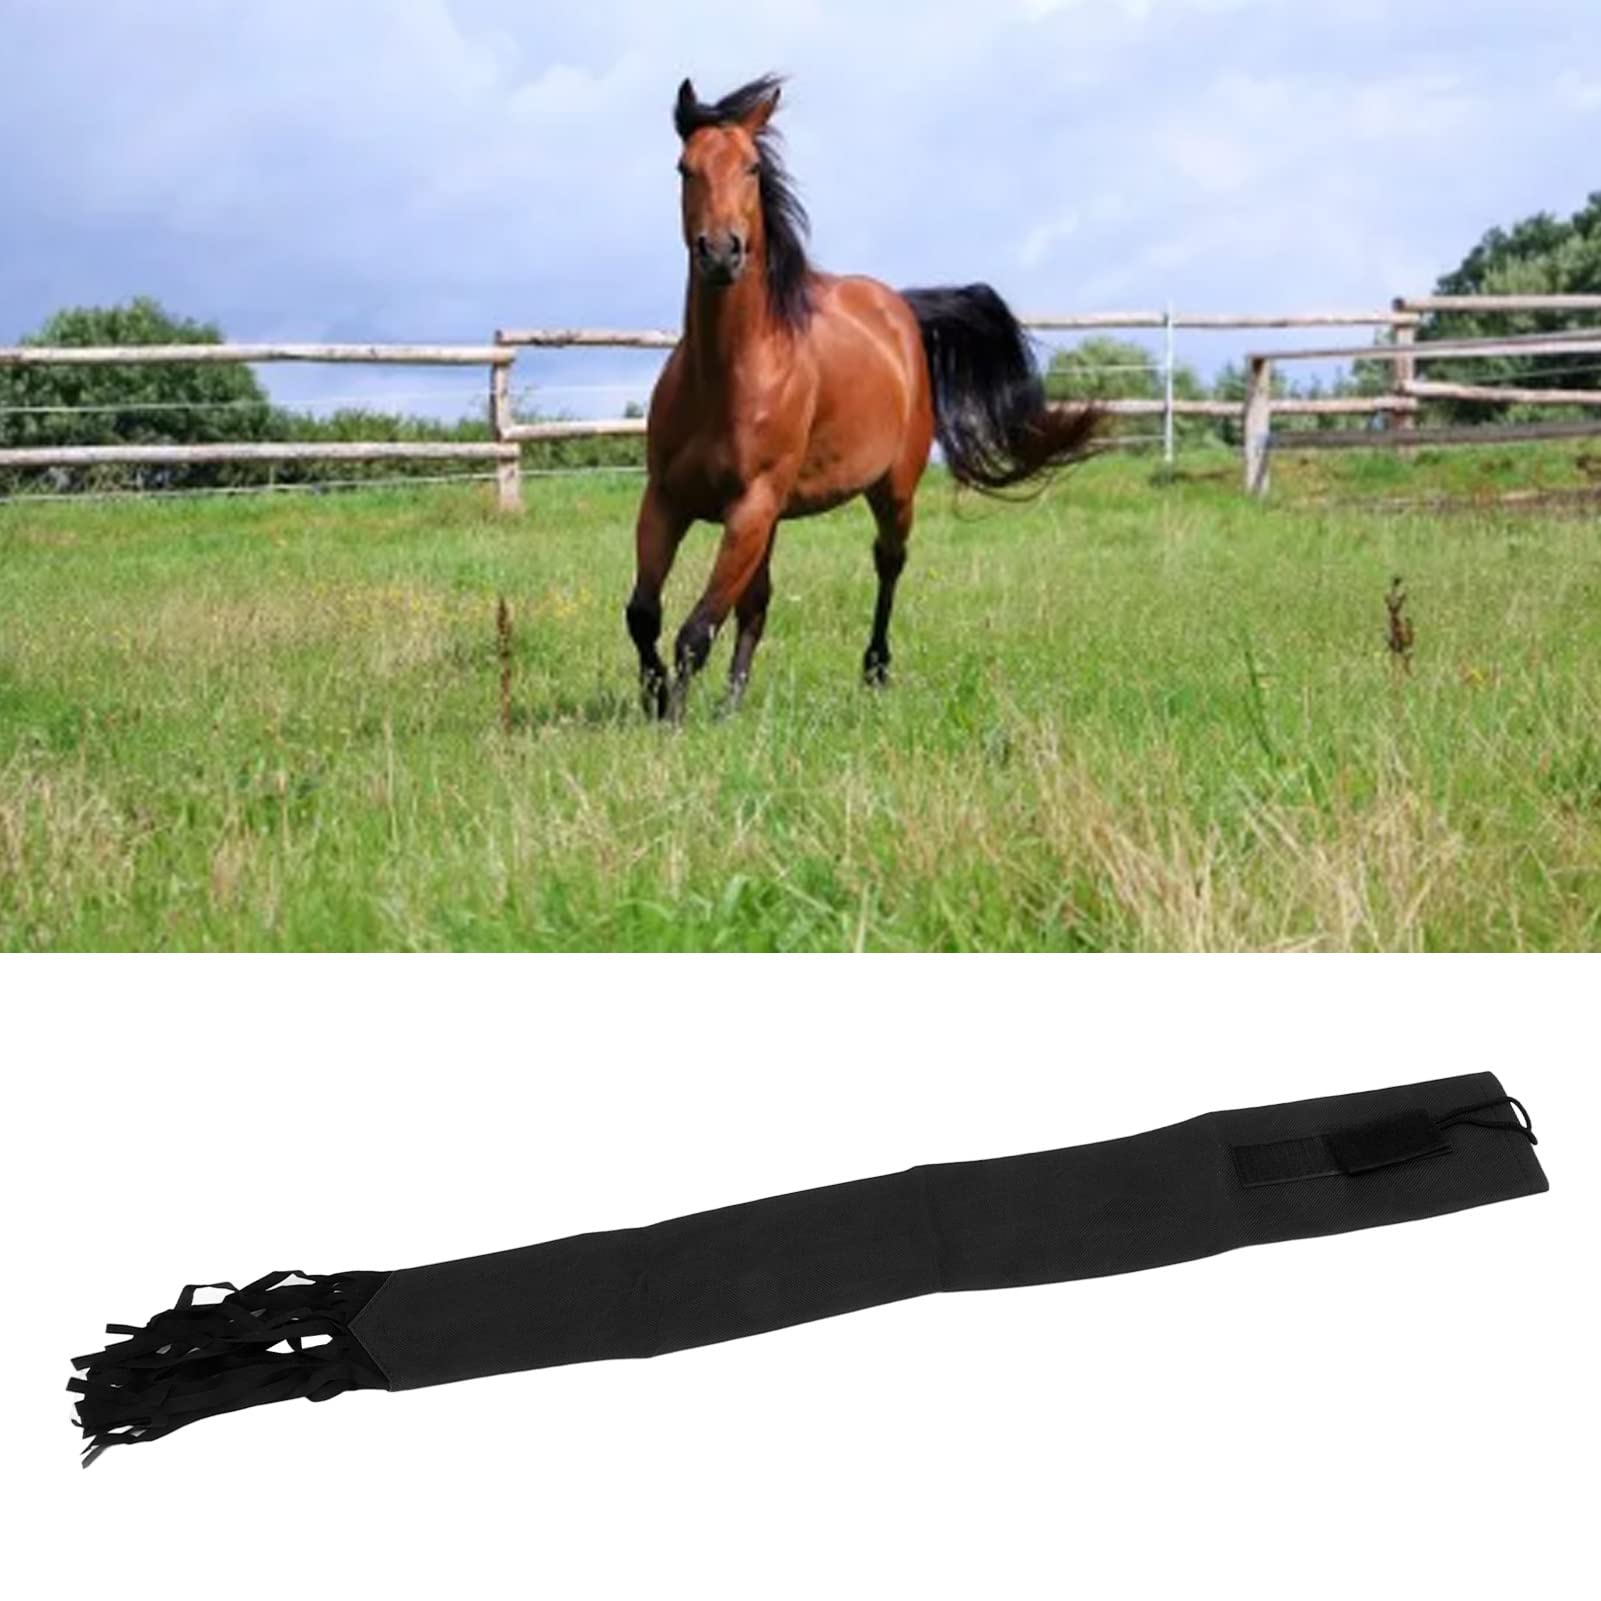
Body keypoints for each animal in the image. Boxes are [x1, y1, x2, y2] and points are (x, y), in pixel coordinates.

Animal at [625, 74, 1101, 720]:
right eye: (684, 168)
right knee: (757, 604)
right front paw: (656, 700)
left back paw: (875, 671)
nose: (721, 251)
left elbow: (695, 631)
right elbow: (644, 614)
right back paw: (732, 705)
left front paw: (672, 720)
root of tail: (900, 308)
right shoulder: (669, 500)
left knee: (888, 562)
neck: (726, 375)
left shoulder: (750, 507)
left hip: (892, 489)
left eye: (752, 168)